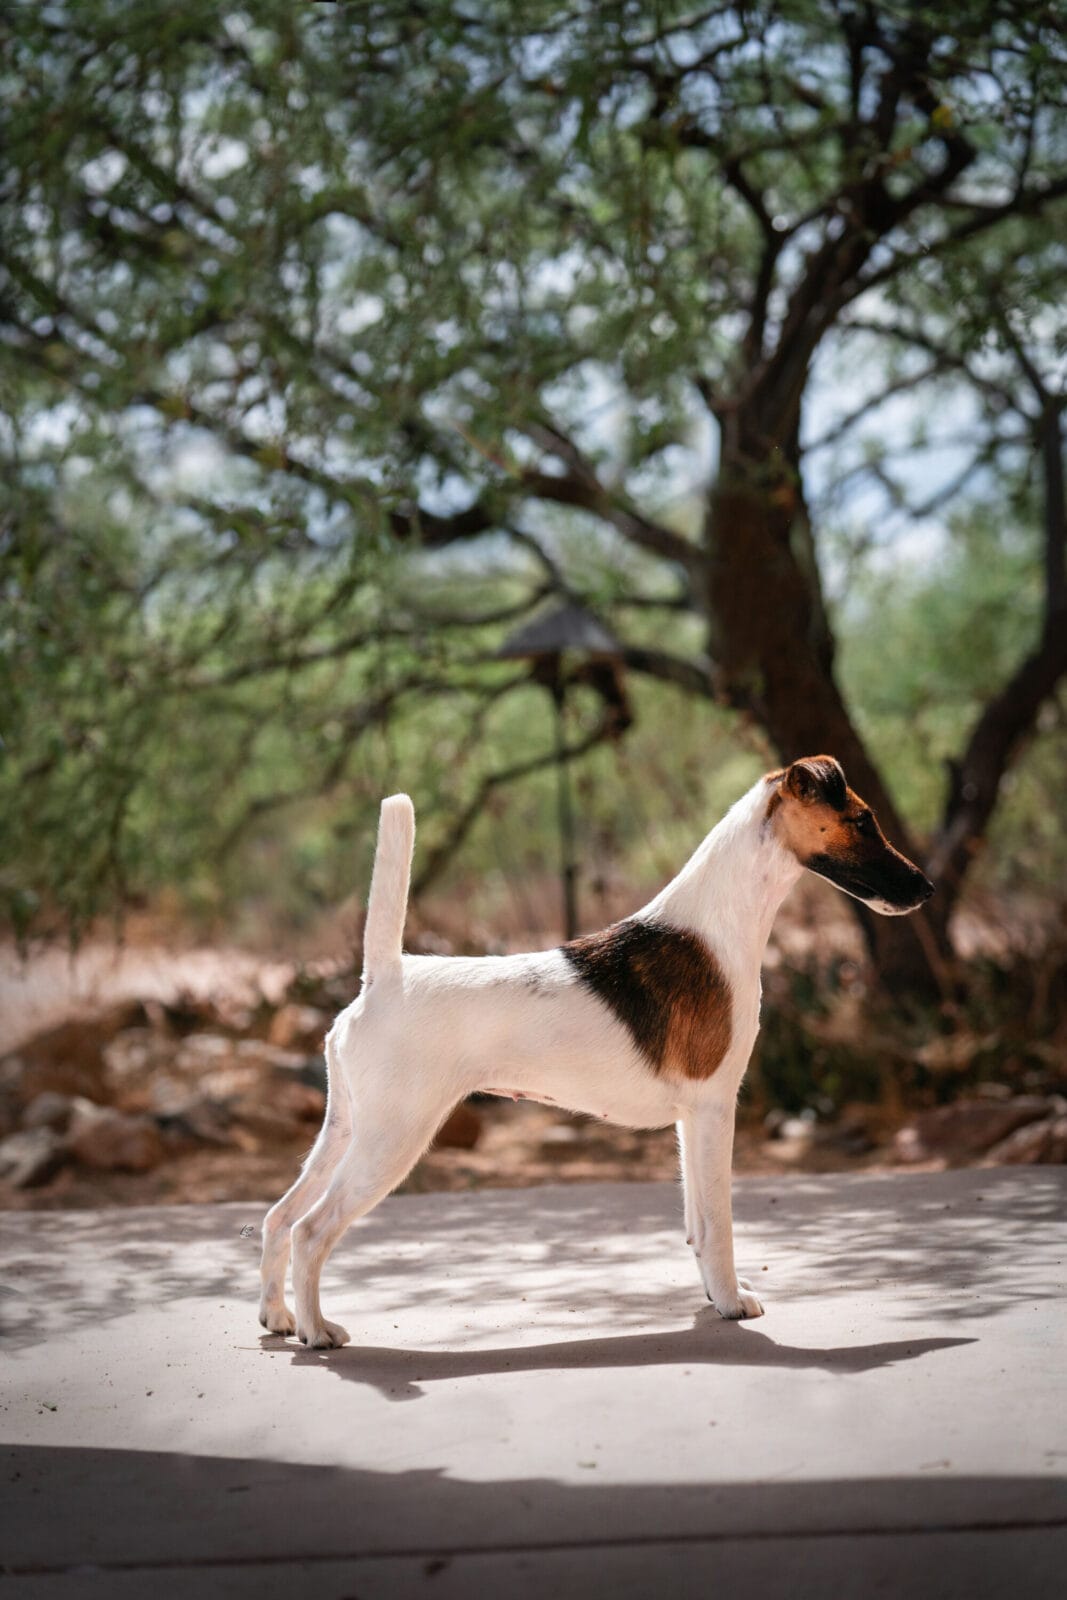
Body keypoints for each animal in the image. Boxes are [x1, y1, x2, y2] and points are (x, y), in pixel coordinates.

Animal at [260, 755, 934, 1344]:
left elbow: (696, 1222)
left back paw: (279, 1319)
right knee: (311, 1230)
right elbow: (719, 1222)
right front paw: (732, 1303)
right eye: (862, 820)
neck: (717, 925)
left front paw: (714, 1295)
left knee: (278, 1217)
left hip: (345, 1130)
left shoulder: (692, 1122)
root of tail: (383, 976)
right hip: (391, 1141)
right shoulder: (716, 1109)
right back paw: (319, 1332)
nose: (926, 887)